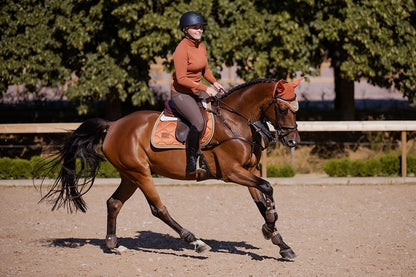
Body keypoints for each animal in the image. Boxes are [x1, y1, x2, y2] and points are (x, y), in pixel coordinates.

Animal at [39, 77, 302, 258]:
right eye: (283, 109)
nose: (293, 141)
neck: (235, 121)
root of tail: (113, 125)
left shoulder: (250, 170)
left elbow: (262, 200)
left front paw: (280, 241)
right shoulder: (232, 172)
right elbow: (267, 188)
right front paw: (270, 227)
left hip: (129, 175)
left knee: (114, 203)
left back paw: (114, 245)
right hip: (140, 174)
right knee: (158, 209)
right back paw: (195, 241)